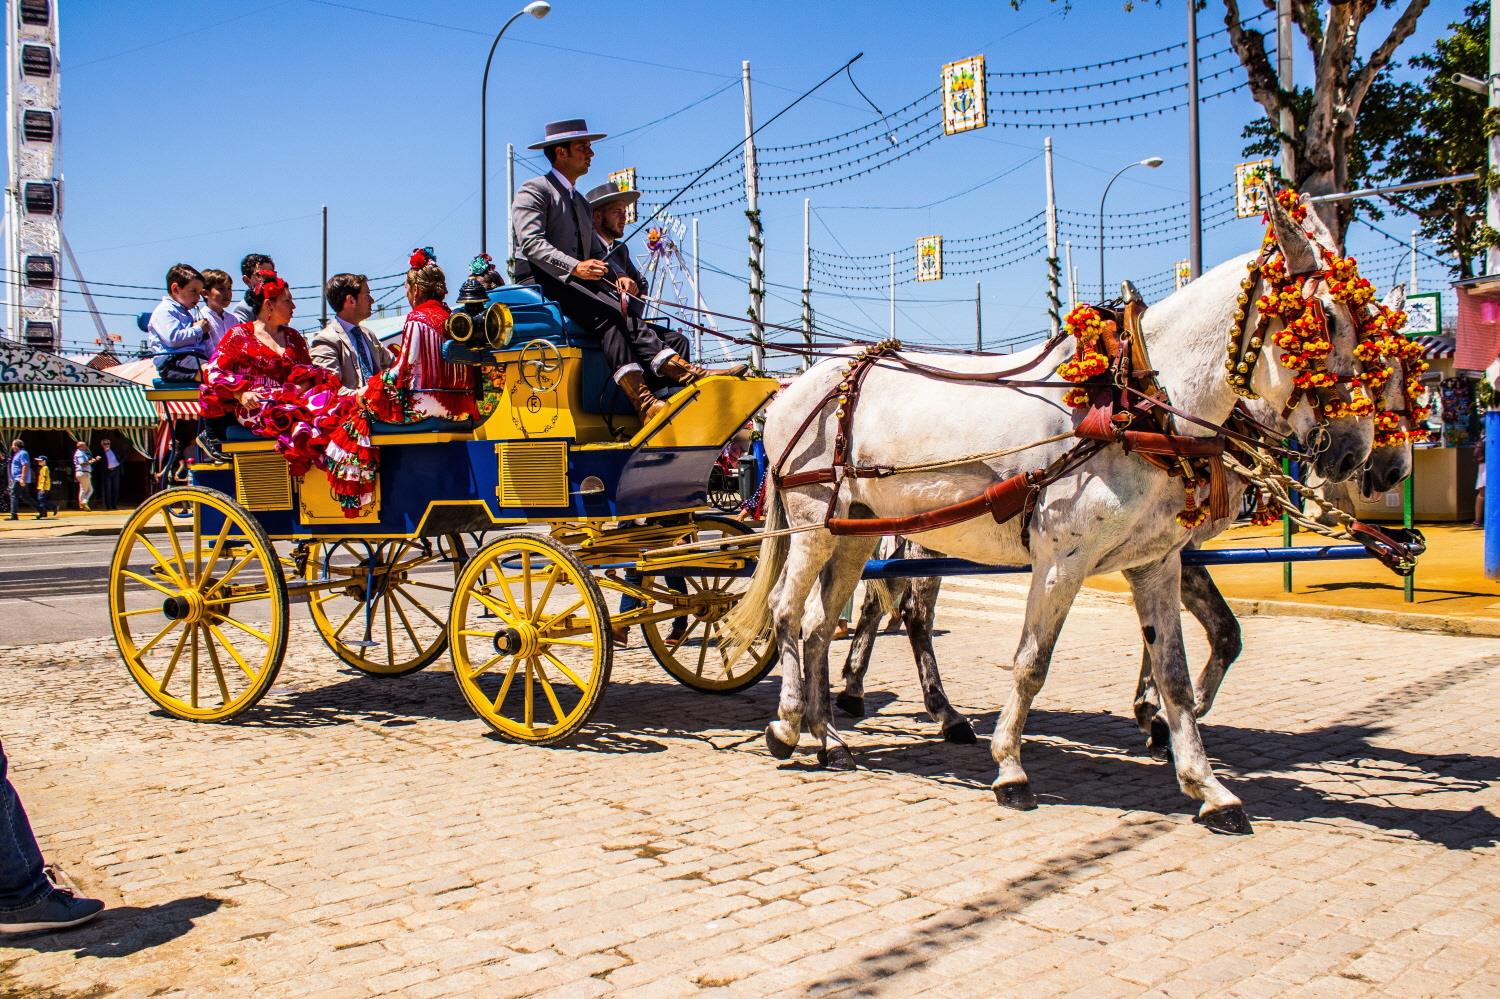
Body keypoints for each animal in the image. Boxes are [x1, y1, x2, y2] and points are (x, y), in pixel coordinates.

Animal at [723, 195, 1374, 834]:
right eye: (1323, 322)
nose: (1355, 453)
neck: (1132, 403)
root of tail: (796, 386)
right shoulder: (1062, 561)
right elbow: (1032, 662)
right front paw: (1010, 768)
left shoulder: (1156, 563)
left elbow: (1176, 676)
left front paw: (1206, 785)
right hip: (811, 521)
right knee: (788, 611)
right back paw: (787, 724)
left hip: (854, 529)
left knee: (818, 623)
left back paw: (829, 737)